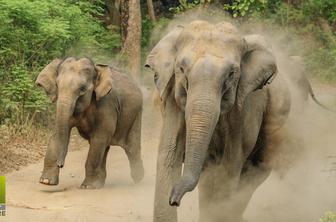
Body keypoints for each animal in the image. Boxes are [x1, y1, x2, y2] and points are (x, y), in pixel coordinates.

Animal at [35, 57, 144, 189]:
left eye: (82, 89)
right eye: (57, 85)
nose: (60, 164)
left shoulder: (107, 105)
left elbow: (99, 138)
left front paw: (88, 186)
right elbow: (56, 136)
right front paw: (45, 181)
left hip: (136, 114)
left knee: (131, 147)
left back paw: (138, 178)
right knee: (105, 147)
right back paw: (101, 182)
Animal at [146, 20, 290, 220]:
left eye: (231, 74)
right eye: (181, 69)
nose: (174, 200)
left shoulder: (243, 108)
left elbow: (230, 165)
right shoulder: (172, 96)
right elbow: (169, 153)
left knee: (253, 172)